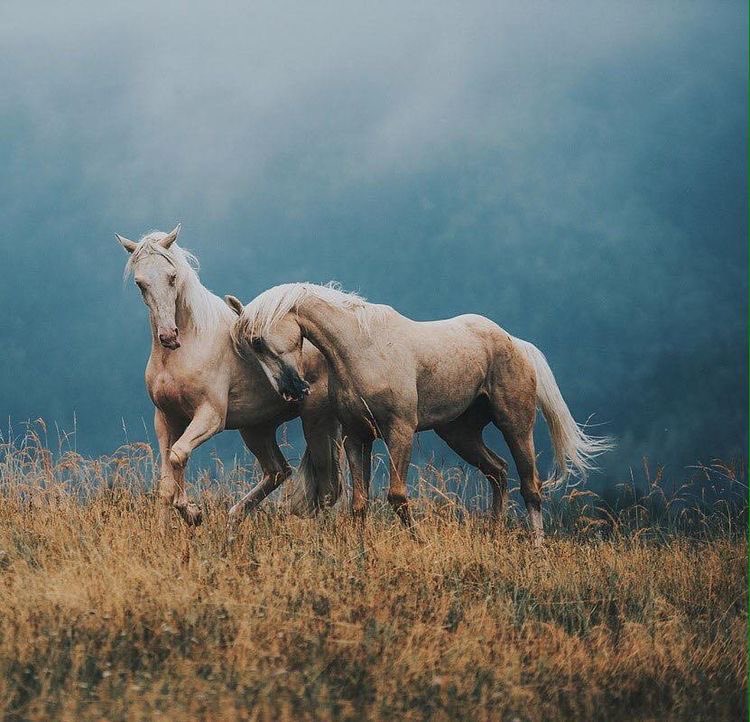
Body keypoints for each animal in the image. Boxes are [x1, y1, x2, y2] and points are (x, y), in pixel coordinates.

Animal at [115, 227, 342, 530]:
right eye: (140, 283)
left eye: (172, 276)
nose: (168, 336)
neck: (186, 349)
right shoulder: (166, 418)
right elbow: (166, 482)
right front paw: (167, 528)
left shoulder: (210, 417)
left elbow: (178, 455)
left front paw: (193, 513)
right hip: (256, 429)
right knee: (278, 471)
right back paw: (234, 519)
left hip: (316, 420)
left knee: (327, 486)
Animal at [227, 282, 611, 540]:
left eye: (258, 341)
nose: (291, 391)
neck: (363, 349)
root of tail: (514, 343)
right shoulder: (356, 436)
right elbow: (359, 501)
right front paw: (360, 547)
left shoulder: (399, 431)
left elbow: (397, 496)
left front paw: (418, 541)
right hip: (459, 434)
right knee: (498, 472)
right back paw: (493, 532)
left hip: (515, 425)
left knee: (530, 486)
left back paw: (536, 547)